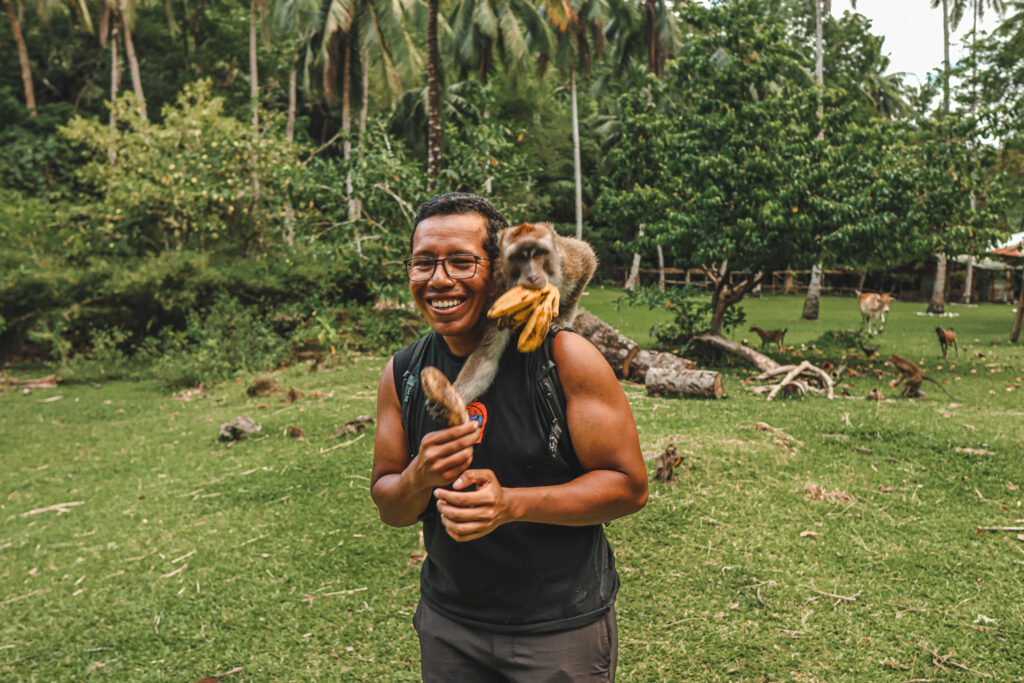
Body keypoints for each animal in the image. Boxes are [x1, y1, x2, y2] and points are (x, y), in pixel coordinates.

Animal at [450, 222, 598, 403]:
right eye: (519, 257)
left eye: (538, 253)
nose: (532, 276)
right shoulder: (497, 293)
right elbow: (487, 358)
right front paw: (452, 397)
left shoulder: (568, 266)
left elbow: (587, 259)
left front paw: (561, 320)